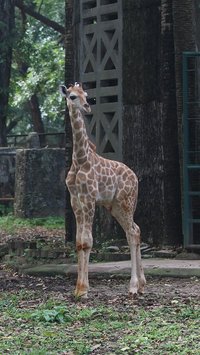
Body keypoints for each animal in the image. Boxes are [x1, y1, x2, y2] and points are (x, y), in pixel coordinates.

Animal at [59, 82, 145, 298]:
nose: (87, 107)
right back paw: (141, 285)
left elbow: (88, 241)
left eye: (86, 95)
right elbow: (79, 242)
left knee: (133, 232)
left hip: (126, 202)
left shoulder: (89, 199)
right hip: (114, 206)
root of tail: (135, 177)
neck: (80, 159)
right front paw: (78, 289)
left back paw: (133, 286)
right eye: (72, 96)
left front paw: (83, 290)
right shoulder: (75, 200)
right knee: (134, 230)